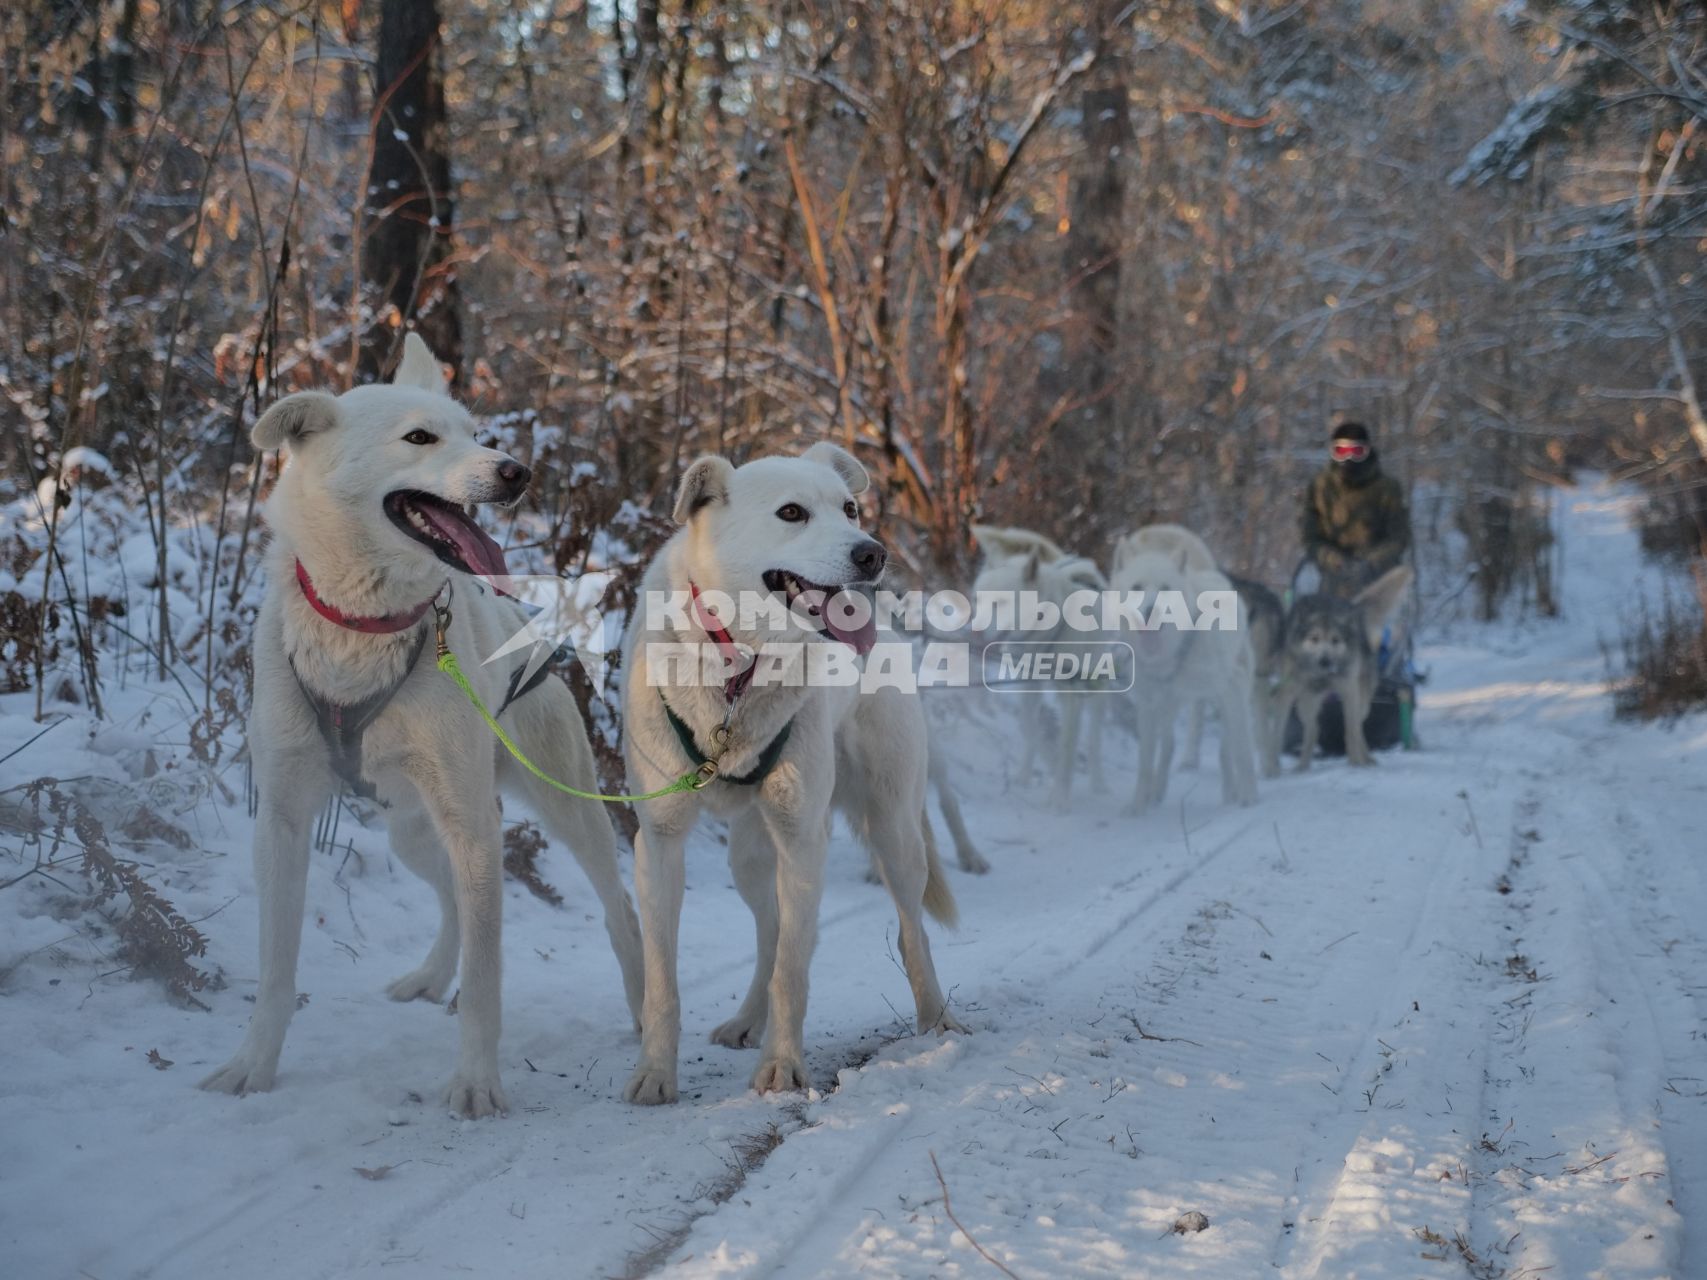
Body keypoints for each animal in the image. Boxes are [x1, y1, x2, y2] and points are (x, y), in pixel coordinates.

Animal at [203, 336, 641, 1119]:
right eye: (420, 438)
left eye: (475, 430)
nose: (516, 469)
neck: (364, 627)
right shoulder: (280, 821)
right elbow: (276, 970)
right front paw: (252, 1064)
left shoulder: (470, 824)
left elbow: (489, 977)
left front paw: (476, 1082)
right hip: (414, 829)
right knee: (451, 900)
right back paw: (433, 976)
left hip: (556, 810)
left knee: (617, 909)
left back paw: (646, 1009)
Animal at [621, 447, 969, 1105]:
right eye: (791, 513)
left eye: (850, 508)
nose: (873, 554)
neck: (738, 667)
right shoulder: (659, 841)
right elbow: (661, 981)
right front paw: (654, 1072)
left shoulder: (804, 838)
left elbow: (793, 971)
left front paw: (782, 1066)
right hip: (750, 856)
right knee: (772, 930)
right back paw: (746, 1020)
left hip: (891, 831)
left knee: (906, 931)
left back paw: (937, 1019)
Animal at [969, 529, 1112, 812]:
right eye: (977, 600)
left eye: (1000, 603)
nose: (973, 632)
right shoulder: (1028, 686)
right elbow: (1029, 727)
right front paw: (1035, 768)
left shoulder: (1071, 698)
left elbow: (1067, 746)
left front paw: (1060, 798)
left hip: (1097, 691)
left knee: (1094, 738)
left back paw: (1099, 781)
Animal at [1112, 542, 1263, 812]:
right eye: (1137, 587)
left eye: (1165, 588)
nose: (1151, 611)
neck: (1173, 652)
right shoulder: (1147, 706)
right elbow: (1145, 764)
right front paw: (1138, 806)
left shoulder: (1232, 688)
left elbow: (1243, 752)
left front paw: (1249, 798)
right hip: (1170, 705)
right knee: (1169, 744)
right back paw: (1156, 791)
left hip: (1230, 700)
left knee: (1228, 748)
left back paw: (1232, 792)